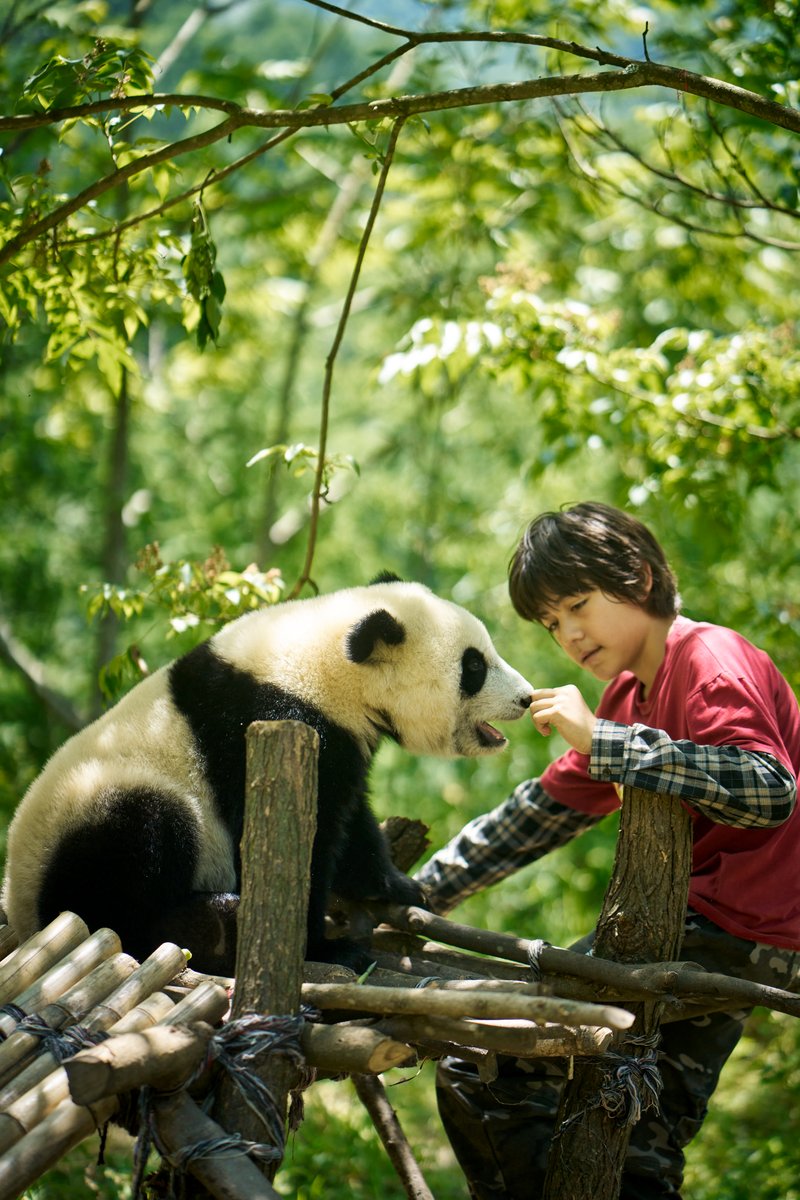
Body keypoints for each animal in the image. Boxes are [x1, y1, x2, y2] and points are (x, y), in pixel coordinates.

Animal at [2, 577, 533, 974]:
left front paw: (399, 886)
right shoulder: (271, 722)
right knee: (131, 856)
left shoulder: (339, 739)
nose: (526, 697)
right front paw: (324, 947)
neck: (326, 665)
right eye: (473, 666)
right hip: (96, 812)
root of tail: (24, 919)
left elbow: (350, 822)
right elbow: (296, 841)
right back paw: (209, 925)